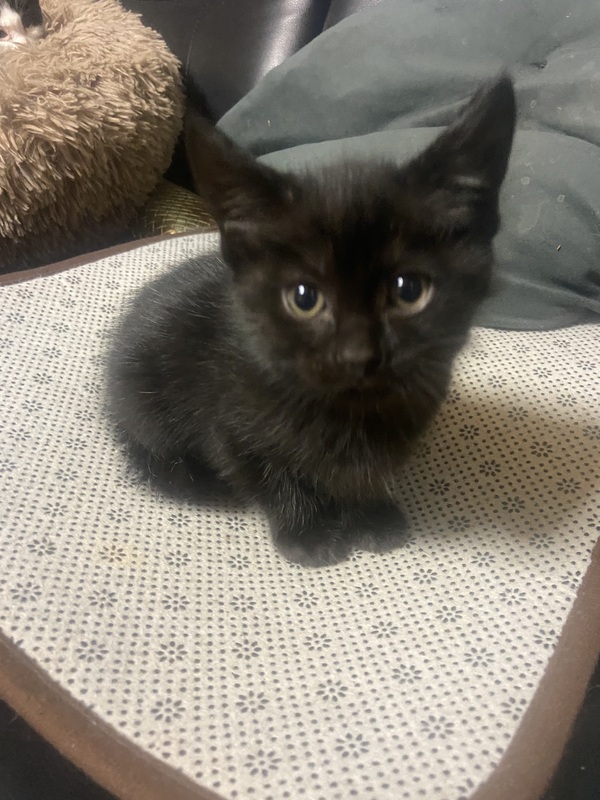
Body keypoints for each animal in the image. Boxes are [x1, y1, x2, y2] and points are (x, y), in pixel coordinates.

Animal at [107, 74, 516, 567]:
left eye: (409, 290)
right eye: (304, 298)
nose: (358, 355)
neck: (351, 411)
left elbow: (364, 474)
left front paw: (371, 514)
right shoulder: (228, 426)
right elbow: (271, 476)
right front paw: (309, 532)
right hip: (143, 396)